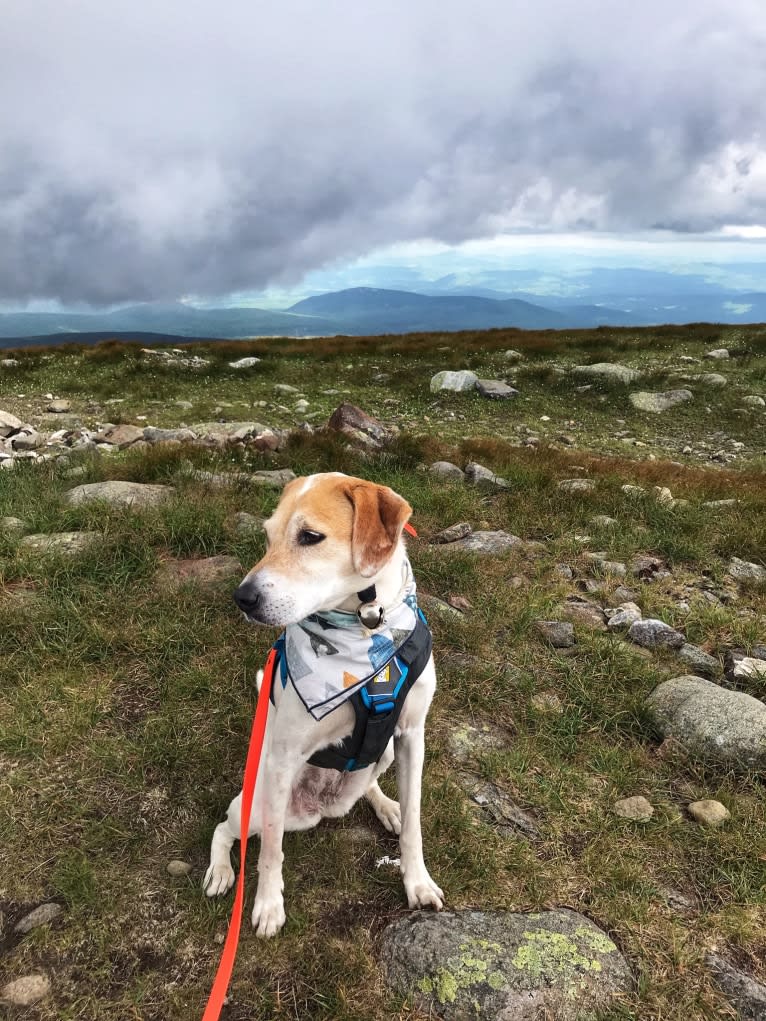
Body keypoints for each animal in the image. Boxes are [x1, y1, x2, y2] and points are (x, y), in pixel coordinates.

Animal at [204, 473, 443, 935]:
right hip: (258, 801)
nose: (242, 598)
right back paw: (221, 871)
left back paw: (386, 807)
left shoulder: (411, 737)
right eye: (267, 536)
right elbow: (271, 852)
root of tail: (326, 806)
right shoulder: (283, 758)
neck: (368, 626)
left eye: (310, 536)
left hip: (385, 753)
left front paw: (418, 882)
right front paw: (267, 905)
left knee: (369, 786)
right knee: (227, 829)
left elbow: (415, 823)